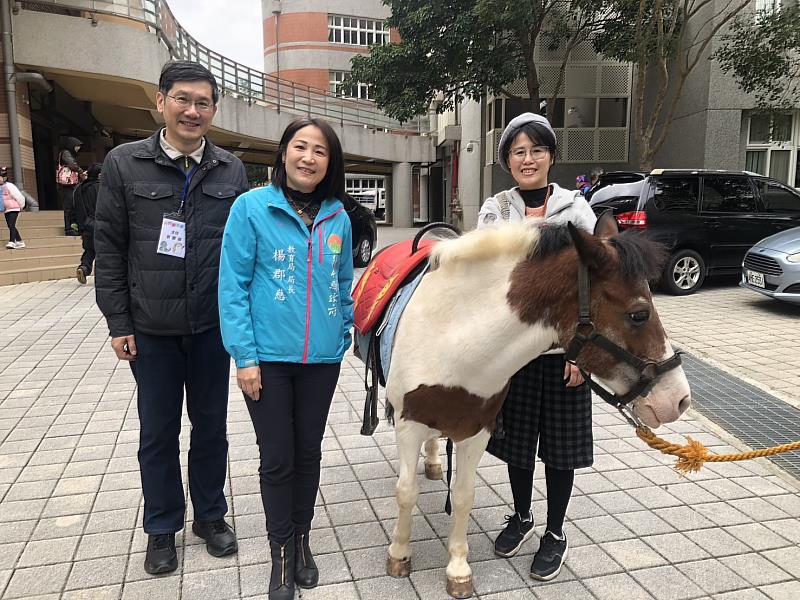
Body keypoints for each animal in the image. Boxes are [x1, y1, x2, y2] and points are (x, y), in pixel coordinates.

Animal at [382, 213, 688, 596]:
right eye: (639, 314)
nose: (679, 399)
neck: (450, 337)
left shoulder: (476, 429)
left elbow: (464, 495)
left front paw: (458, 568)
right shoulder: (408, 424)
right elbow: (405, 492)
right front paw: (399, 554)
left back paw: (436, 462)